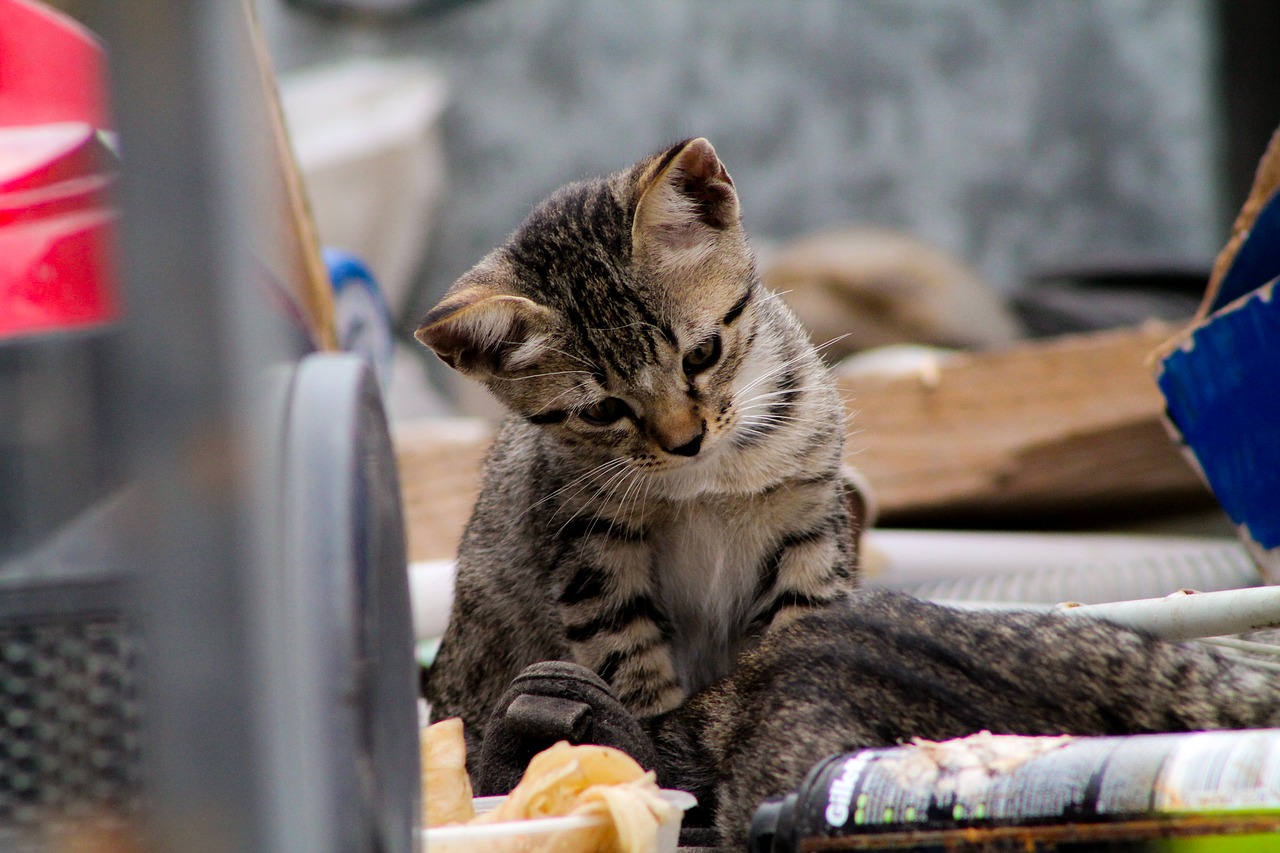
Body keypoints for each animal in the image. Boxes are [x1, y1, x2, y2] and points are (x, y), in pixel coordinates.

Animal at [419, 139, 860, 758]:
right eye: (602, 411)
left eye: (702, 354)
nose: (687, 442)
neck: (707, 481)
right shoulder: (589, 556)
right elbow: (629, 662)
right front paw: (649, 746)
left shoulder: (810, 519)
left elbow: (800, 628)